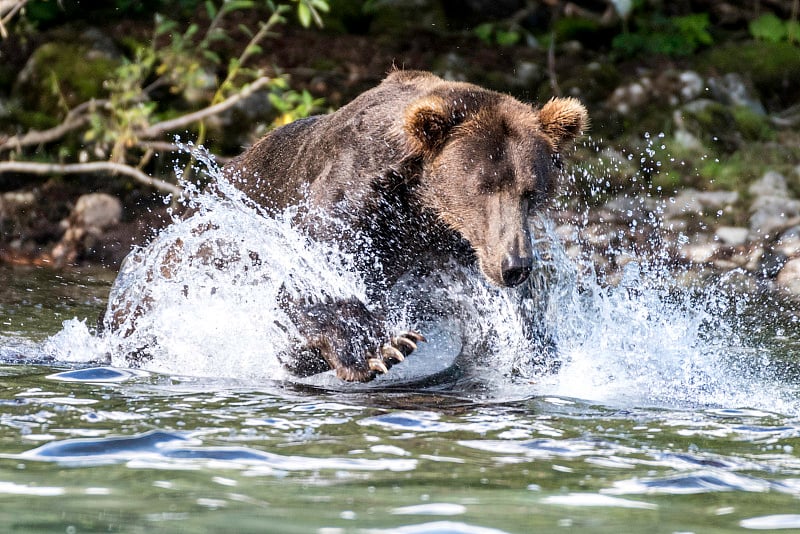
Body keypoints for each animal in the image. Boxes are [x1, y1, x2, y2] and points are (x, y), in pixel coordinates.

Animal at [103, 70, 584, 386]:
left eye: (532, 190)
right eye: (483, 186)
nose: (514, 265)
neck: (419, 212)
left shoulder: (455, 255)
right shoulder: (348, 204)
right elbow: (305, 289)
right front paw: (383, 349)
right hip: (181, 262)